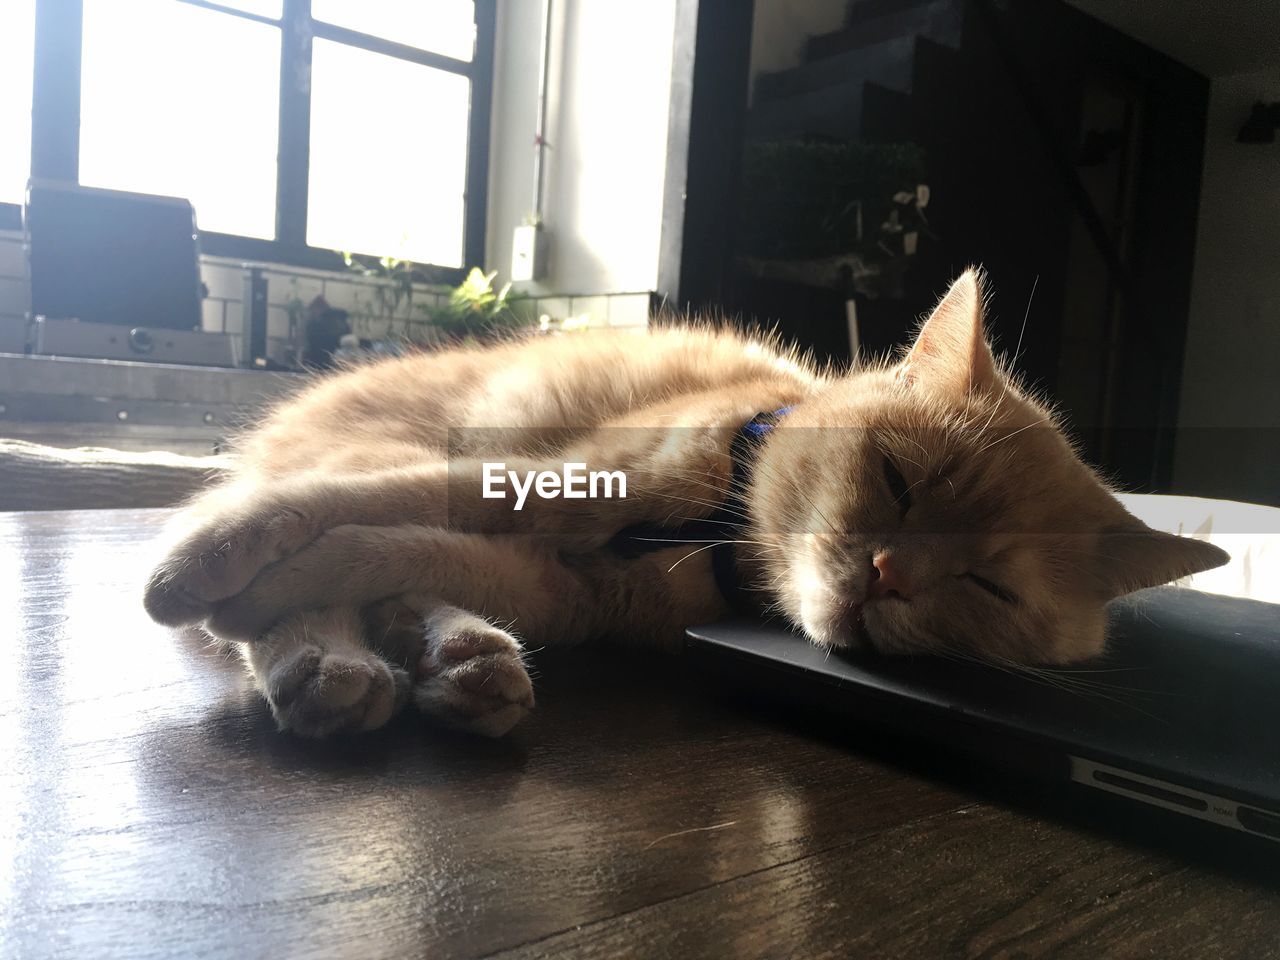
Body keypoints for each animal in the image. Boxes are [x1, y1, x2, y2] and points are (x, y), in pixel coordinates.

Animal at [142, 273, 1228, 742]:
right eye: (896, 480)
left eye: (986, 586)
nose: (888, 576)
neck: (710, 536)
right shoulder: (534, 482)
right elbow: (324, 517)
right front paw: (204, 565)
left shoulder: (548, 583)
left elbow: (372, 548)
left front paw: (261, 586)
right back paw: (332, 664)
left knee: (387, 600)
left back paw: (439, 667)